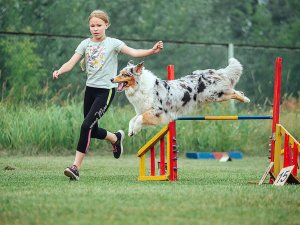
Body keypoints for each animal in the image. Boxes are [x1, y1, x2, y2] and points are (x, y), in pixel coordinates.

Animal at [111, 58, 250, 135]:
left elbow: (139, 119)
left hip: (215, 95)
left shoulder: (158, 111)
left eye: (124, 74)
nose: (111, 79)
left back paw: (245, 99)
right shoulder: (143, 110)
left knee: (234, 92)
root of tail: (209, 72)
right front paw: (131, 131)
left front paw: (135, 129)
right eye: (119, 73)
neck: (140, 87)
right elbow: (133, 119)